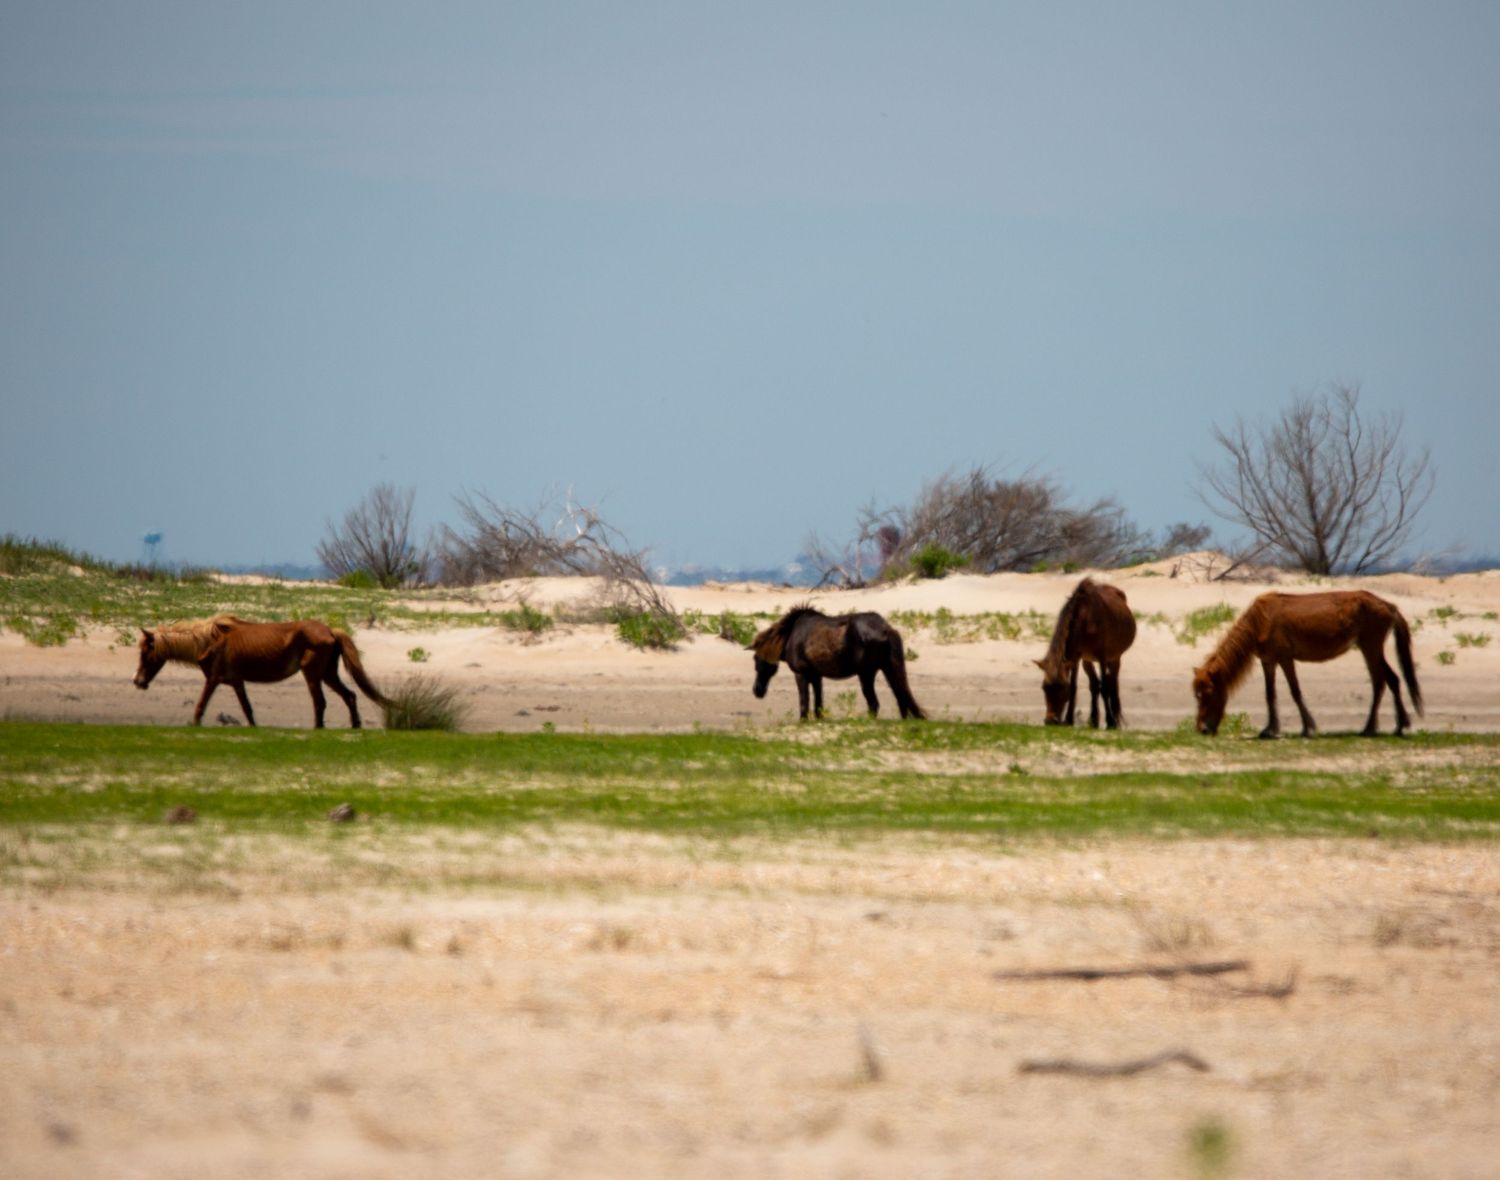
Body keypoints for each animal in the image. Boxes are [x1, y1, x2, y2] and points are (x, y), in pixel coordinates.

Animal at [134, 615, 390, 728]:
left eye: (145, 652)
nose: (138, 682)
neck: (209, 641)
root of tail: (330, 631)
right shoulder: (237, 682)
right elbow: (247, 709)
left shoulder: (213, 680)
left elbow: (201, 704)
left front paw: (194, 724)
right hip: (328, 675)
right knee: (350, 696)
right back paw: (355, 725)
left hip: (313, 675)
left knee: (320, 702)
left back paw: (319, 728)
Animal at [748, 605, 925, 721]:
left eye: (757, 659)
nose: (757, 691)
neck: (791, 635)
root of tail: (885, 628)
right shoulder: (816, 676)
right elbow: (818, 703)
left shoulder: (801, 674)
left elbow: (804, 702)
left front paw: (803, 721)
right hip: (887, 669)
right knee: (900, 697)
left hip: (866, 674)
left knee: (874, 703)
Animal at [1034, 578, 1137, 729]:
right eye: (1044, 687)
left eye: (1062, 688)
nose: (1050, 721)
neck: (1086, 620)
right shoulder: (1076, 658)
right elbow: (1075, 687)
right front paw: (1069, 720)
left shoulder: (1102, 656)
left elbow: (1105, 687)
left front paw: (1110, 722)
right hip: (1087, 660)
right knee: (1094, 685)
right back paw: (1093, 720)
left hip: (1115, 658)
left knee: (1111, 683)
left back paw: (1113, 720)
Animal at [1192, 590, 1422, 738]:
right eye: (1197, 695)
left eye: (1209, 693)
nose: (1203, 729)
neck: (1261, 621)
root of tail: (1389, 606)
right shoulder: (1268, 661)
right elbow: (1270, 695)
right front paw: (1269, 729)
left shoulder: (1285, 659)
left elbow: (1295, 691)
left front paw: (1307, 727)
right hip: (1373, 649)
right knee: (1393, 679)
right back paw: (1400, 725)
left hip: (1370, 647)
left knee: (1379, 682)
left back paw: (1369, 728)